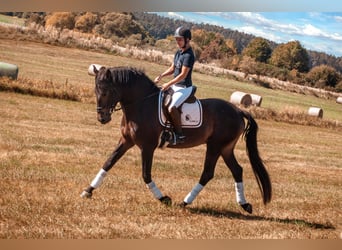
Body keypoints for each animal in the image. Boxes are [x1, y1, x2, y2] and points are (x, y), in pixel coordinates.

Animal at [81, 65, 272, 214]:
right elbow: (108, 163)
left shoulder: (147, 146)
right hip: (225, 148)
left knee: (208, 173)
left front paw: (164, 199)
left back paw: (185, 202)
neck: (141, 104)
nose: (102, 118)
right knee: (237, 170)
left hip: (215, 146)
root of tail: (238, 110)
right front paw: (88, 191)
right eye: (96, 91)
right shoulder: (126, 141)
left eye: (106, 92)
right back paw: (244, 204)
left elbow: (146, 175)